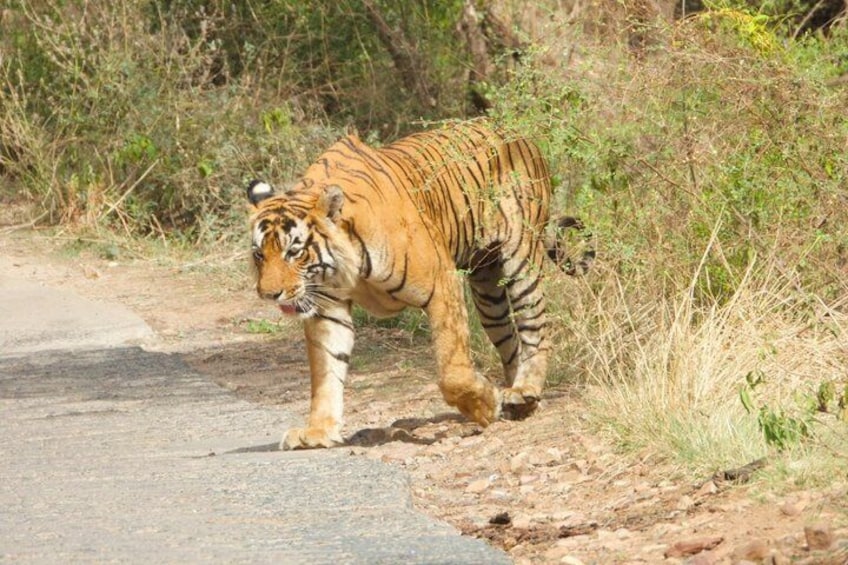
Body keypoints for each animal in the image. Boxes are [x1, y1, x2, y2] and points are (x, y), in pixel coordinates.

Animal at [246, 120, 592, 450]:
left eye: (294, 252)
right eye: (259, 254)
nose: (269, 294)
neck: (346, 265)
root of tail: (516, 133)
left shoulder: (441, 283)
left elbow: (452, 371)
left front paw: (484, 406)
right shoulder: (327, 307)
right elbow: (326, 370)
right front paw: (318, 431)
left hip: (521, 260)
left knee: (535, 329)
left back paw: (524, 389)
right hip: (487, 290)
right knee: (510, 341)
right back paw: (518, 400)